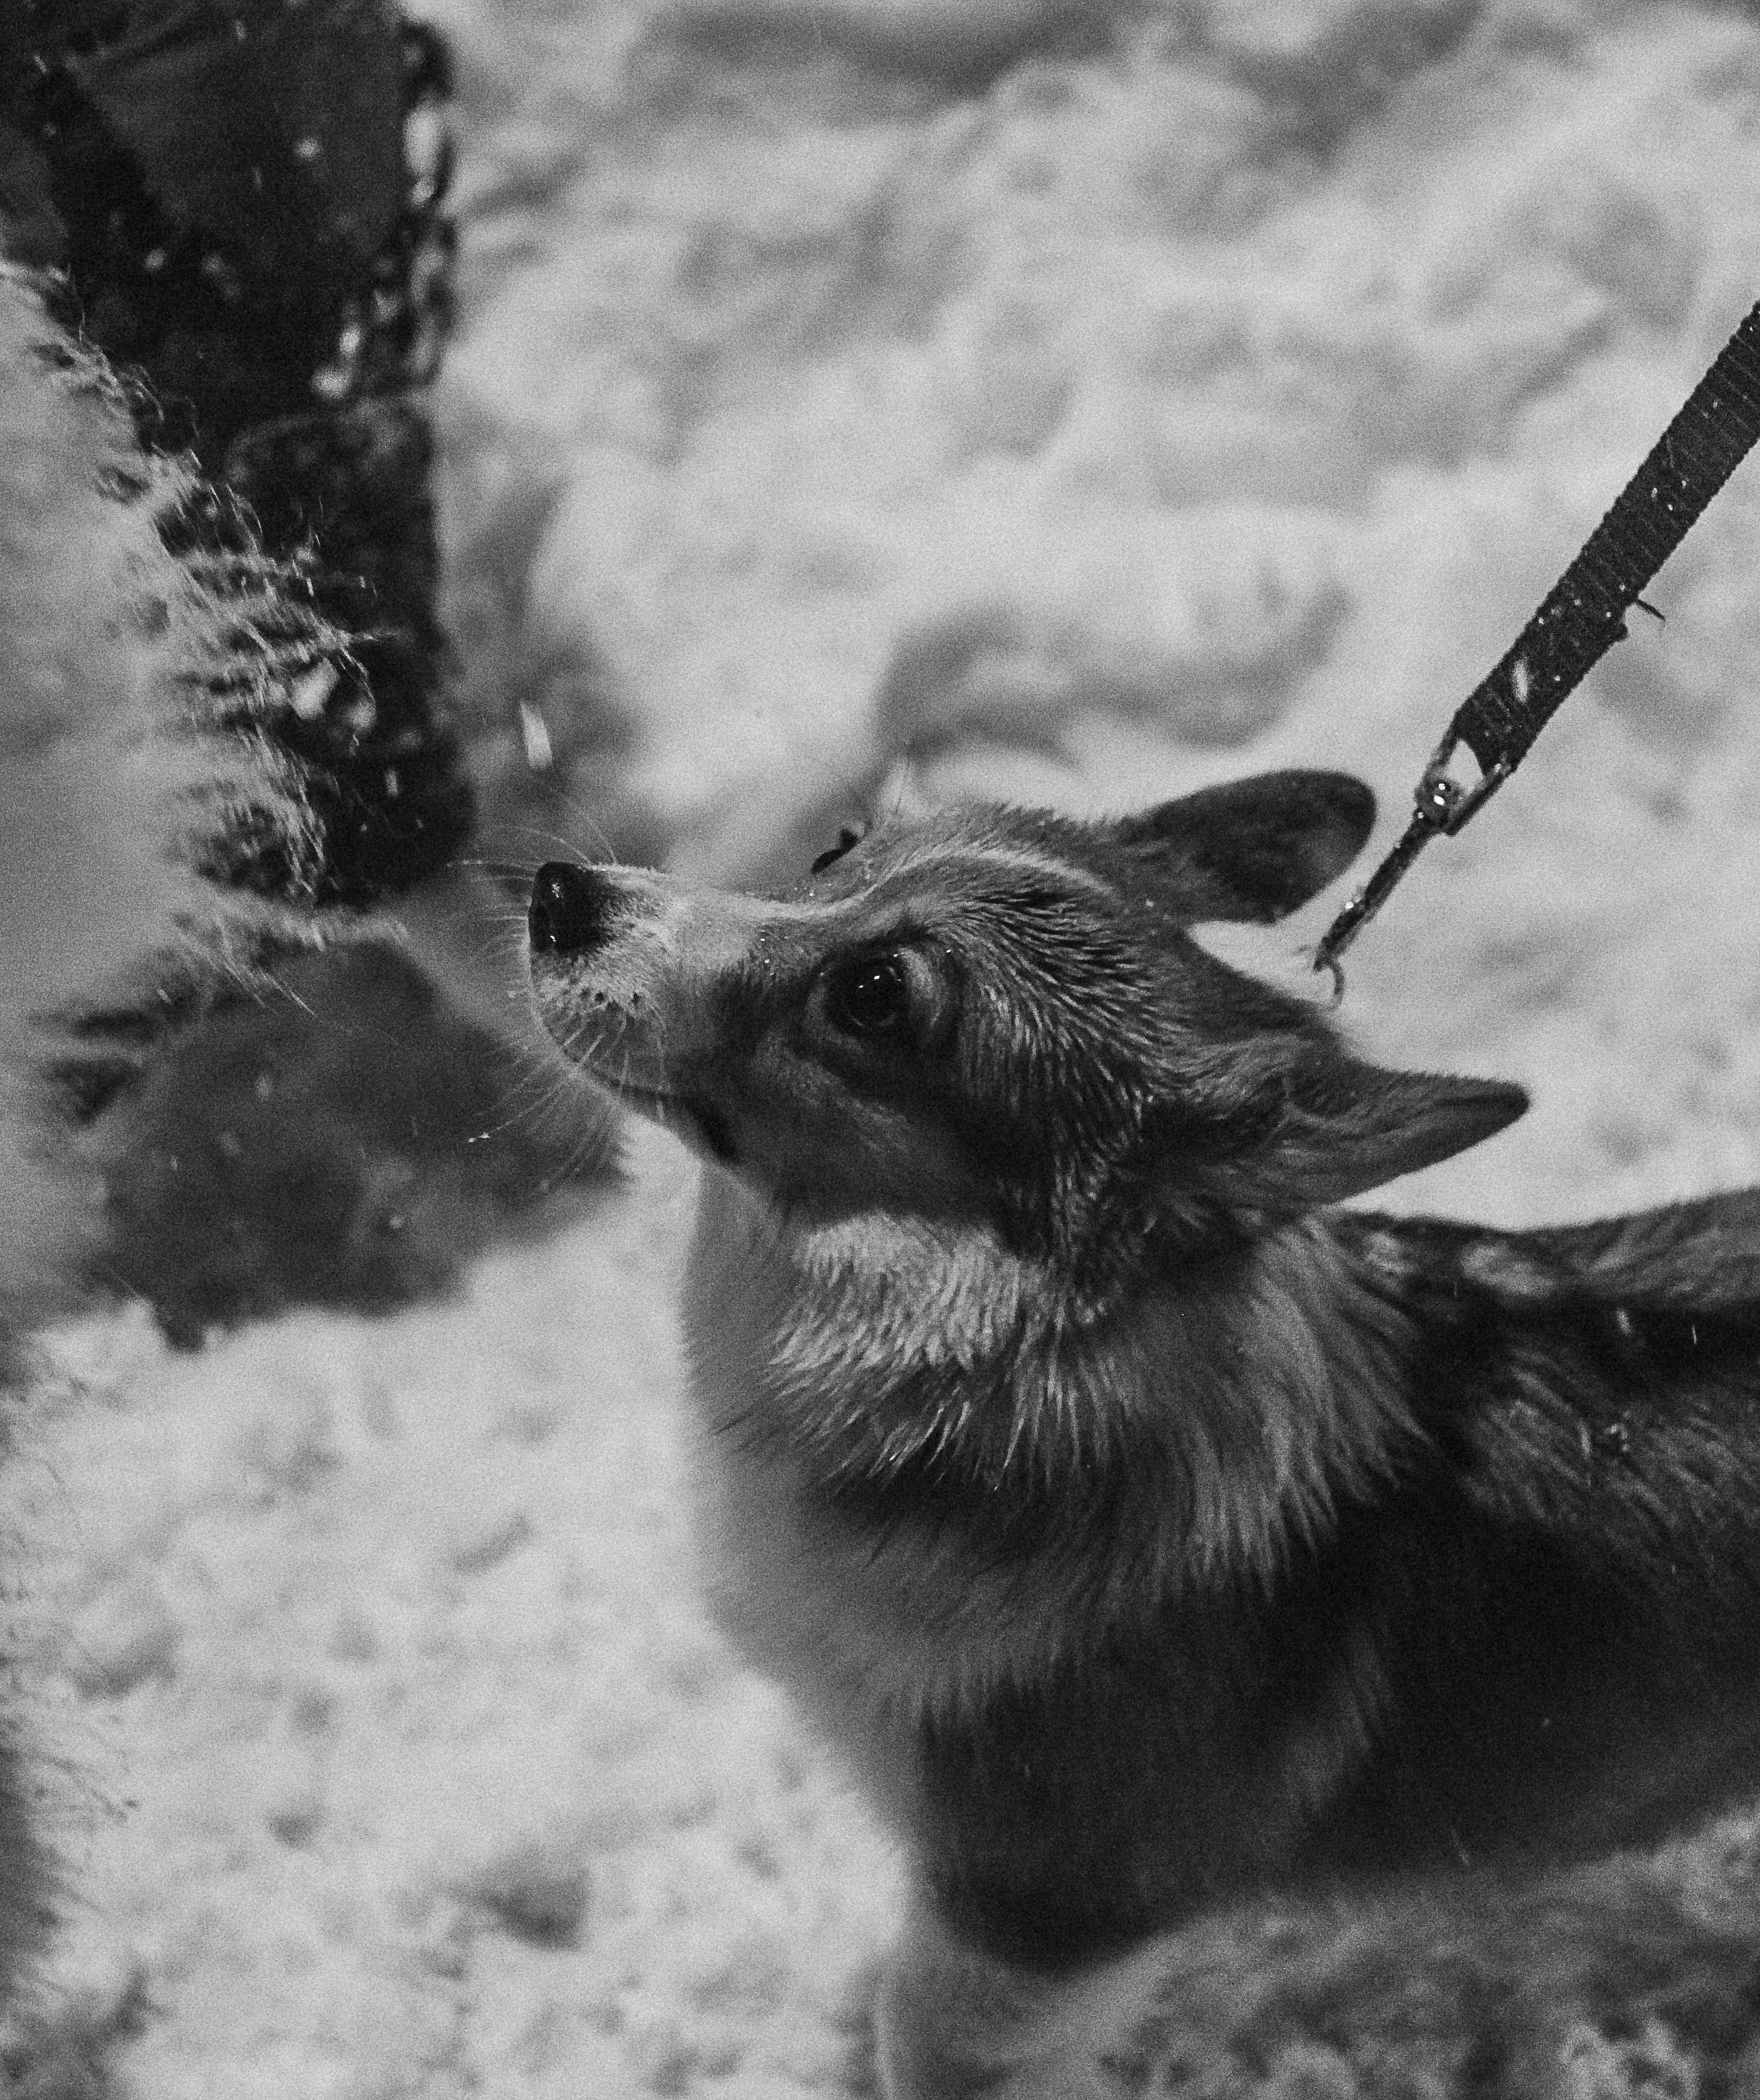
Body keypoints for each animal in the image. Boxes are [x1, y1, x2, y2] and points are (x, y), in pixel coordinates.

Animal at [526, 777, 1760, 2100]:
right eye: (836, 848)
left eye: (873, 994)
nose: (557, 892)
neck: (984, 1378)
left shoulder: (1036, 1917)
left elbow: (924, 2033)